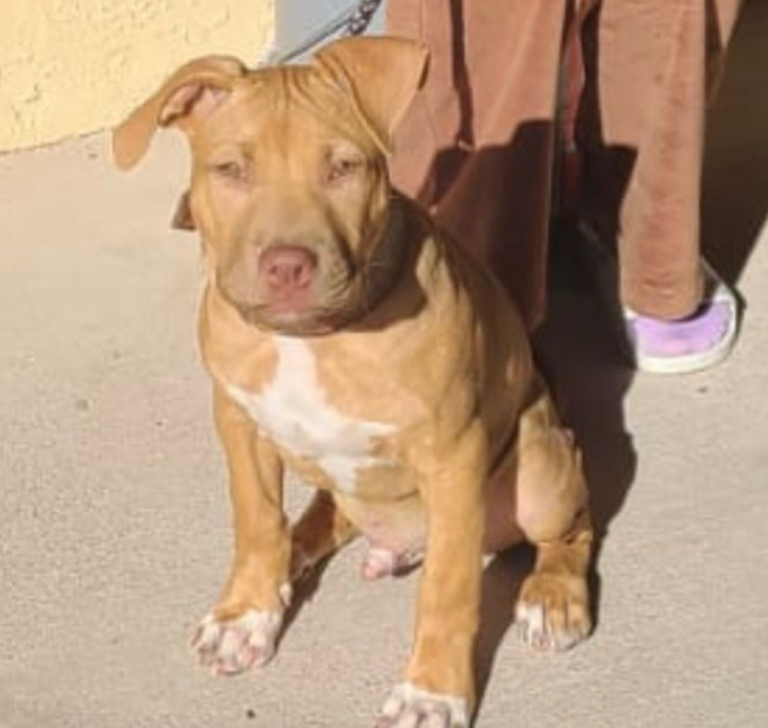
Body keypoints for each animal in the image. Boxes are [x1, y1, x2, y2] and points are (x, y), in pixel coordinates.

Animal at [112, 37, 592, 728]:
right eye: (231, 170)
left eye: (344, 168)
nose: (287, 265)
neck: (309, 340)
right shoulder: (237, 422)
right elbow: (255, 521)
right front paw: (248, 612)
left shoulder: (453, 455)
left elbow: (447, 589)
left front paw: (431, 691)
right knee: (322, 515)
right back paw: (294, 556)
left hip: (540, 472)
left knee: (572, 526)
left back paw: (552, 596)